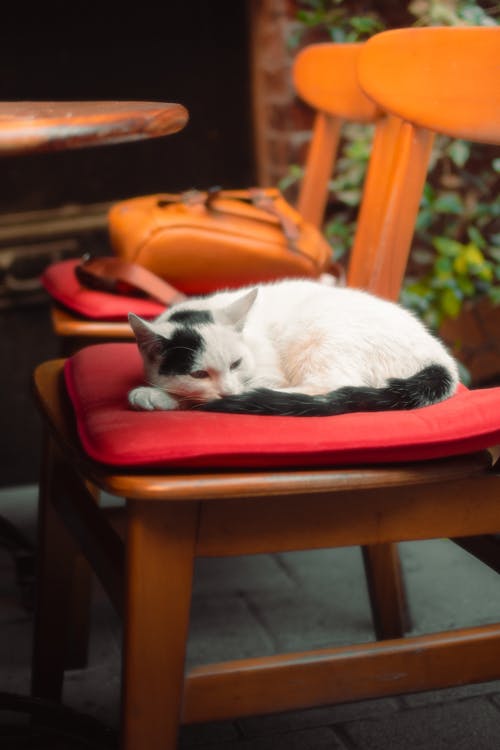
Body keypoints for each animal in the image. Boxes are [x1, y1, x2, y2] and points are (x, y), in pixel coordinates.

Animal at [127, 280, 458, 418]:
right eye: (198, 374)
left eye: (236, 364)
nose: (228, 392)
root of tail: (440, 356)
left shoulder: (268, 374)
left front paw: (159, 395)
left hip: (321, 332)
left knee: (327, 387)